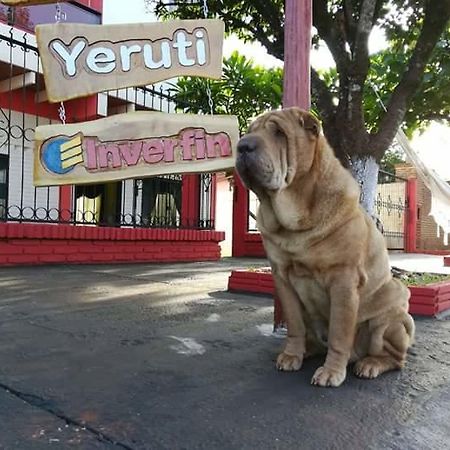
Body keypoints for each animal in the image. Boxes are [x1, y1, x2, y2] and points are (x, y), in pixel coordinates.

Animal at [236, 108, 414, 386]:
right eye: (249, 132)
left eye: (279, 133)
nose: (243, 146)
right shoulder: (283, 278)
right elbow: (294, 326)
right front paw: (292, 355)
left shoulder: (343, 280)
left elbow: (340, 334)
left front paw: (331, 372)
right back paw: (308, 350)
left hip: (390, 317)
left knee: (396, 358)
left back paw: (370, 364)